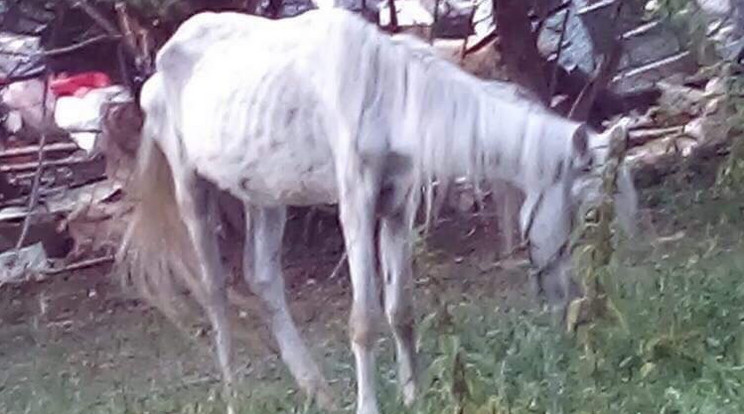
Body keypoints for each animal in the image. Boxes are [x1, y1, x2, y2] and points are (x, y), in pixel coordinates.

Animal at [119, 8, 636, 414]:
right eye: (589, 212)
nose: (578, 309)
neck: (386, 95)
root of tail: (159, 65)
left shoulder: (397, 206)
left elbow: (400, 311)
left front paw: (414, 397)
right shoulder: (356, 204)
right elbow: (364, 320)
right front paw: (369, 405)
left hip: (264, 195)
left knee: (263, 280)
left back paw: (319, 394)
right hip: (192, 190)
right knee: (215, 293)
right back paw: (235, 397)